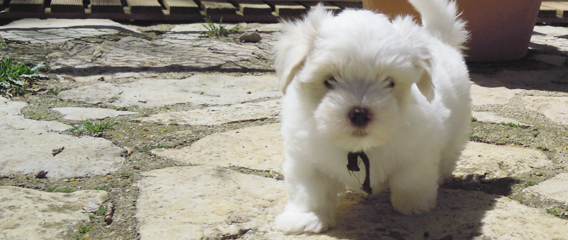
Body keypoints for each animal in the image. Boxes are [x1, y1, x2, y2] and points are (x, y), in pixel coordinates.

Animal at [272, 0, 472, 233]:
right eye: (329, 80)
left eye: (390, 83)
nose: (359, 113)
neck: (359, 147)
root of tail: (438, 38)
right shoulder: (305, 156)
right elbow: (310, 190)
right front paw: (307, 217)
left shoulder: (420, 148)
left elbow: (411, 178)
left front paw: (413, 204)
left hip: (456, 130)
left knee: (448, 155)